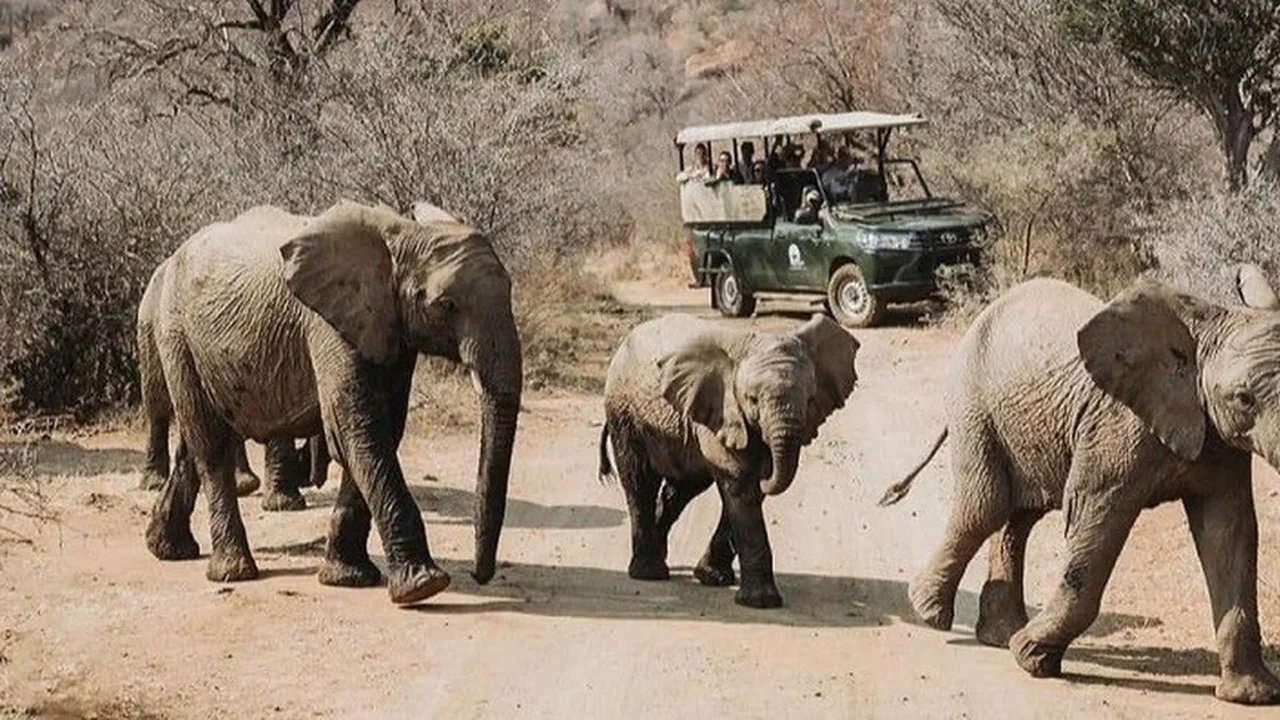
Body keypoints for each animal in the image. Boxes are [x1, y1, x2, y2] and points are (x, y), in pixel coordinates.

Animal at [138, 257, 326, 508]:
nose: (311, 477)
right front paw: (285, 505)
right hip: (152, 328)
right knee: (157, 404)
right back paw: (154, 484)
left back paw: (243, 485)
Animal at [598, 313, 859, 608]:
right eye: (752, 399)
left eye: (810, 399)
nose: (768, 472)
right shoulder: (722, 411)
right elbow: (740, 486)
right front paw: (761, 602)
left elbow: (747, 493)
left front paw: (712, 578)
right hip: (625, 412)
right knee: (640, 482)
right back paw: (648, 573)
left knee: (681, 490)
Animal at [877, 268, 1280, 705]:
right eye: (1244, 398)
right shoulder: (1116, 429)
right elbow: (1096, 520)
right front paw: (1032, 658)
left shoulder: (1219, 440)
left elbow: (1230, 532)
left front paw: (1251, 695)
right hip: (972, 402)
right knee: (984, 507)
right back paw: (930, 613)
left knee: (1017, 518)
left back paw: (999, 635)